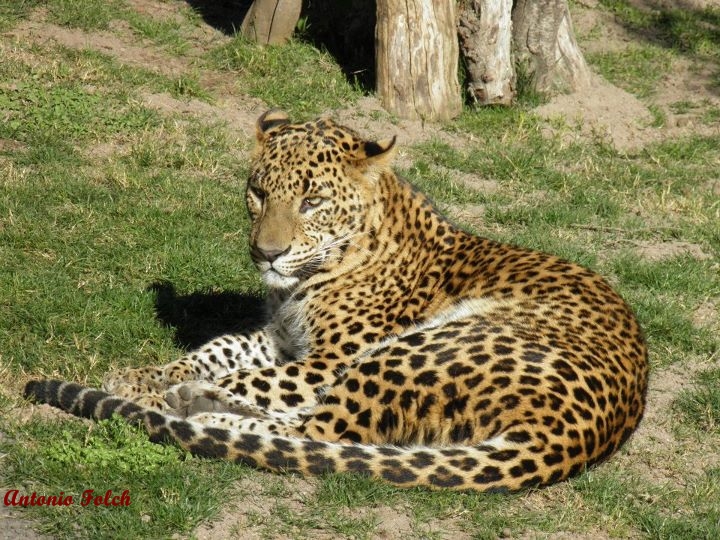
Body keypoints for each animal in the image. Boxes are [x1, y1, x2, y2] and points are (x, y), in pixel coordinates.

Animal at [24, 109, 649, 492]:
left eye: (312, 201)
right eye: (258, 193)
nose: (266, 253)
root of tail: (581, 433)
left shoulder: (327, 357)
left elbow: (255, 378)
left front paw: (153, 389)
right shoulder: (280, 338)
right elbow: (219, 350)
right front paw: (146, 375)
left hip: (415, 349)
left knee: (319, 431)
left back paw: (194, 407)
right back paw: (196, 400)